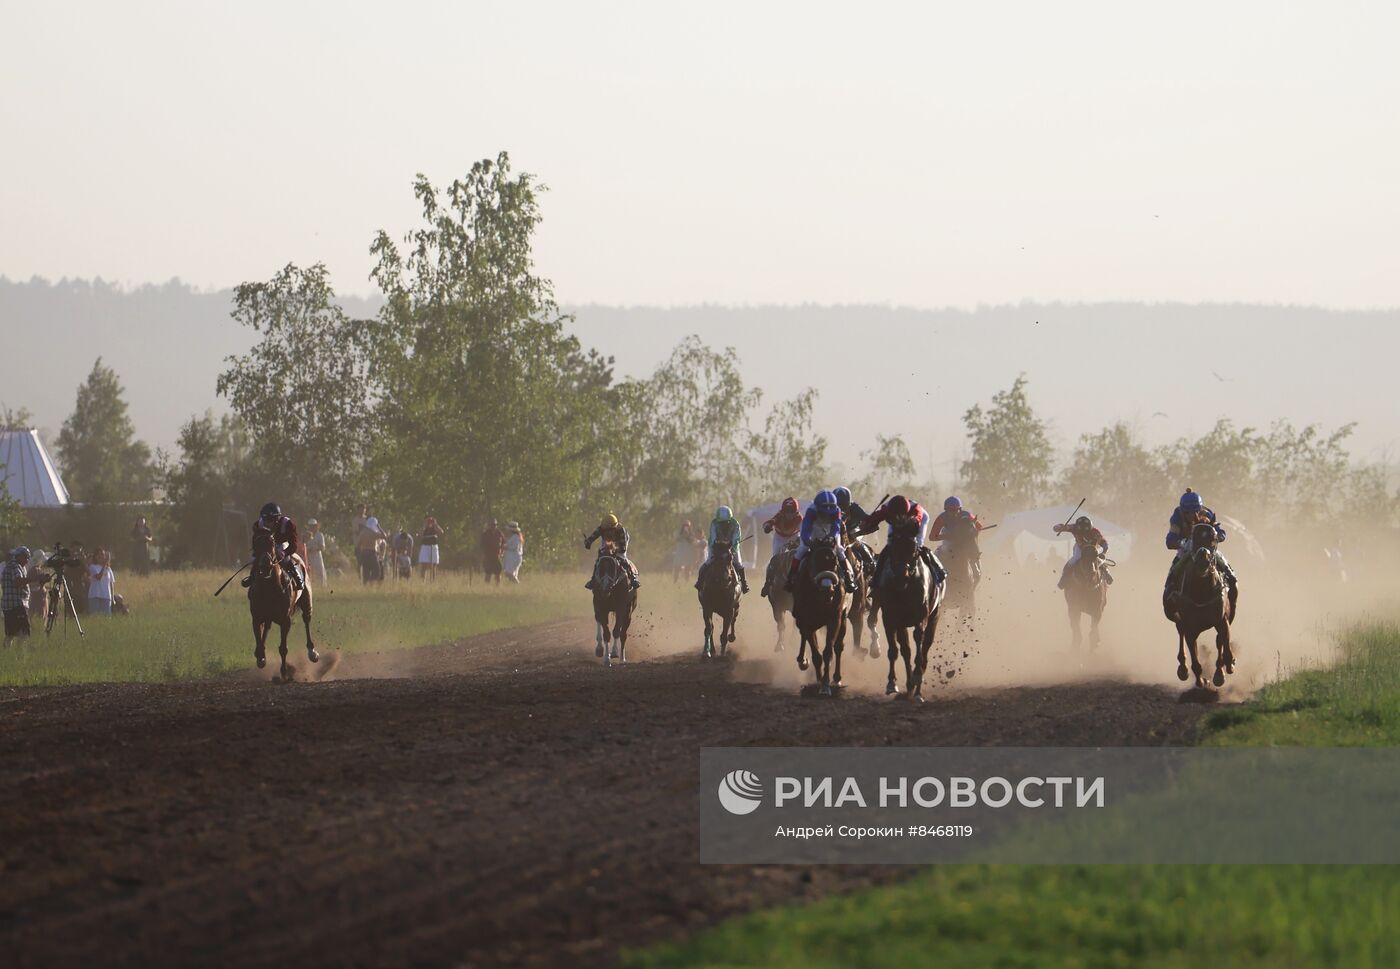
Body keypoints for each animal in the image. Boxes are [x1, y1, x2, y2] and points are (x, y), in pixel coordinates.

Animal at [252, 523, 320, 680]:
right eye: (256, 543)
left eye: (271, 542)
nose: (265, 565)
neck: (269, 588)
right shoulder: (257, 617)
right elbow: (259, 642)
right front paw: (260, 658)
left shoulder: (285, 620)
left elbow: (283, 648)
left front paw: (284, 672)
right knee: (267, 629)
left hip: (307, 602)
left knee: (307, 621)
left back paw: (312, 652)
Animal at [588, 540, 638, 669]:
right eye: (599, 567)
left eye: (612, 567)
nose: (606, 586)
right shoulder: (601, 607)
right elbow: (606, 633)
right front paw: (606, 659)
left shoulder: (621, 608)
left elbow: (617, 631)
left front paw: (614, 652)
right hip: (597, 606)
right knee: (598, 621)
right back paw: (599, 649)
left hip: (628, 611)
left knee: (623, 633)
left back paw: (622, 659)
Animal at [795, 537, 845, 697]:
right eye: (814, 562)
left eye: (835, 562)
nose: (827, 589)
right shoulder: (806, 621)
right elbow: (816, 655)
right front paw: (819, 682)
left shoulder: (834, 618)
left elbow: (828, 652)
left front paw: (825, 685)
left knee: (838, 647)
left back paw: (837, 678)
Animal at [868, 518, 946, 700]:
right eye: (894, 548)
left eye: (914, 550)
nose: (901, 576)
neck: (905, 588)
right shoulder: (891, 619)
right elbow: (894, 651)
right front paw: (891, 683)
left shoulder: (921, 618)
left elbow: (919, 646)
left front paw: (917, 678)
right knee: (906, 651)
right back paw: (910, 687)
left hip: (935, 617)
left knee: (924, 650)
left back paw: (917, 689)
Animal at [1170, 523, 1237, 688]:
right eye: (1194, 538)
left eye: (1213, 538)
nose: (1203, 561)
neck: (1202, 590)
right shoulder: (1190, 626)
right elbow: (1195, 658)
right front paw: (1201, 680)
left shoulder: (1222, 620)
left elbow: (1223, 643)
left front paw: (1224, 670)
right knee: (1181, 634)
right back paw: (1183, 669)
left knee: (1219, 641)